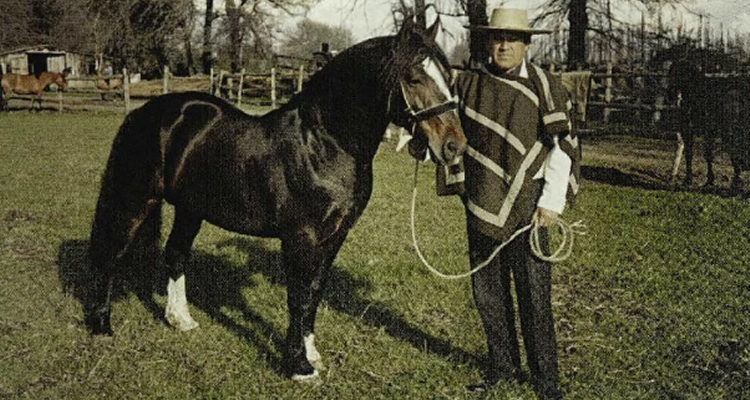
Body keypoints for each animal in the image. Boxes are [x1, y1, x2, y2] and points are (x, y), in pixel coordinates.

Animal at [86, 18, 464, 382]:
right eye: (414, 78)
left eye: (449, 77)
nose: (454, 146)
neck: (324, 144)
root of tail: (145, 112)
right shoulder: (301, 238)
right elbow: (297, 297)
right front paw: (298, 366)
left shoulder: (334, 237)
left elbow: (314, 293)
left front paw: (311, 353)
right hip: (135, 198)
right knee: (112, 251)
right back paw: (101, 325)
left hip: (191, 208)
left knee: (176, 253)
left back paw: (181, 320)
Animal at [664, 44, 750, 191]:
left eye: (676, 72)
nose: (670, 94)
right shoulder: (709, 132)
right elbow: (708, 155)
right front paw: (709, 180)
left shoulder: (689, 130)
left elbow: (690, 154)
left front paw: (689, 179)